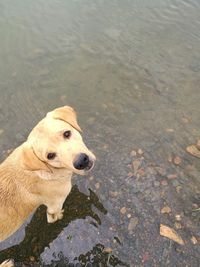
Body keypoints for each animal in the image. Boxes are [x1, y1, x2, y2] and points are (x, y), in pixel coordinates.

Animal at [0, 105, 95, 266]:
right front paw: (60, 216)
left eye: (67, 133)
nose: (81, 161)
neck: (45, 170)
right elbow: (53, 217)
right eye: (50, 156)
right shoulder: (54, 205)